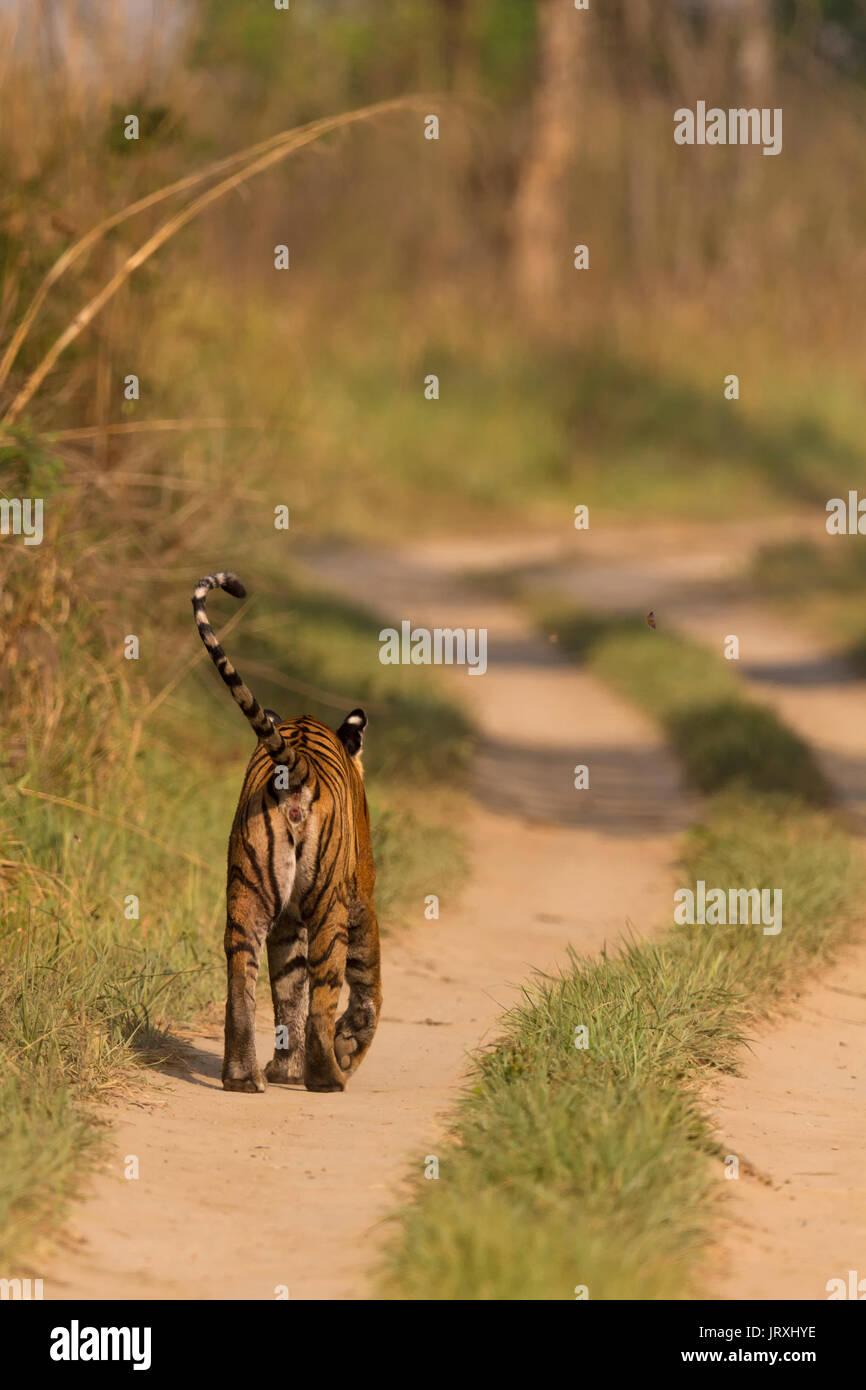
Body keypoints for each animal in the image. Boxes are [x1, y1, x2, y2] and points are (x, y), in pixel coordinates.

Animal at [193, 569, 383, 1089]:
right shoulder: (361, 897)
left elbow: (287, 991)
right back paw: (329, 1075)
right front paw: (348, 1044)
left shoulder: (284, 921)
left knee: (242, 979)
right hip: (330, 907)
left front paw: (285, 1068)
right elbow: (367, 982)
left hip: (246, 895)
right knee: (324, 995)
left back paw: (244, 1076)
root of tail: (292, 766)